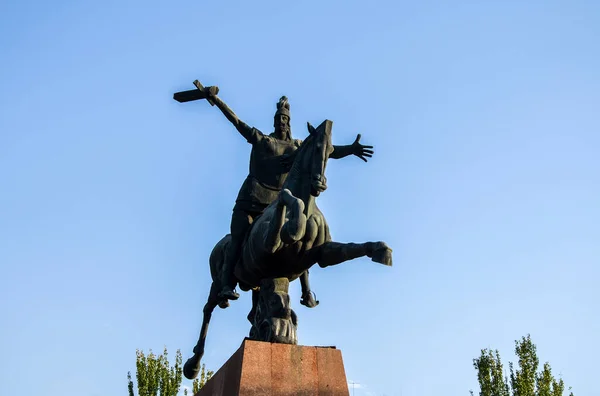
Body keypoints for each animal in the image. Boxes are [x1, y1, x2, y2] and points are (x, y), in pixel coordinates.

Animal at [184, 119, 394, 378]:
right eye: (316, 148)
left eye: (332, 151)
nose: (320, 183)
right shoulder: (269, 247)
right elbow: (287, 200)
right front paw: (293, 225)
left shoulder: (322, 254)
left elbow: (351, 249)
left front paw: (381, 250)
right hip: (219, 280)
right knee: (208, 309)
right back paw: (193, 363)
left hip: (256, 283)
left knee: (252, 313)